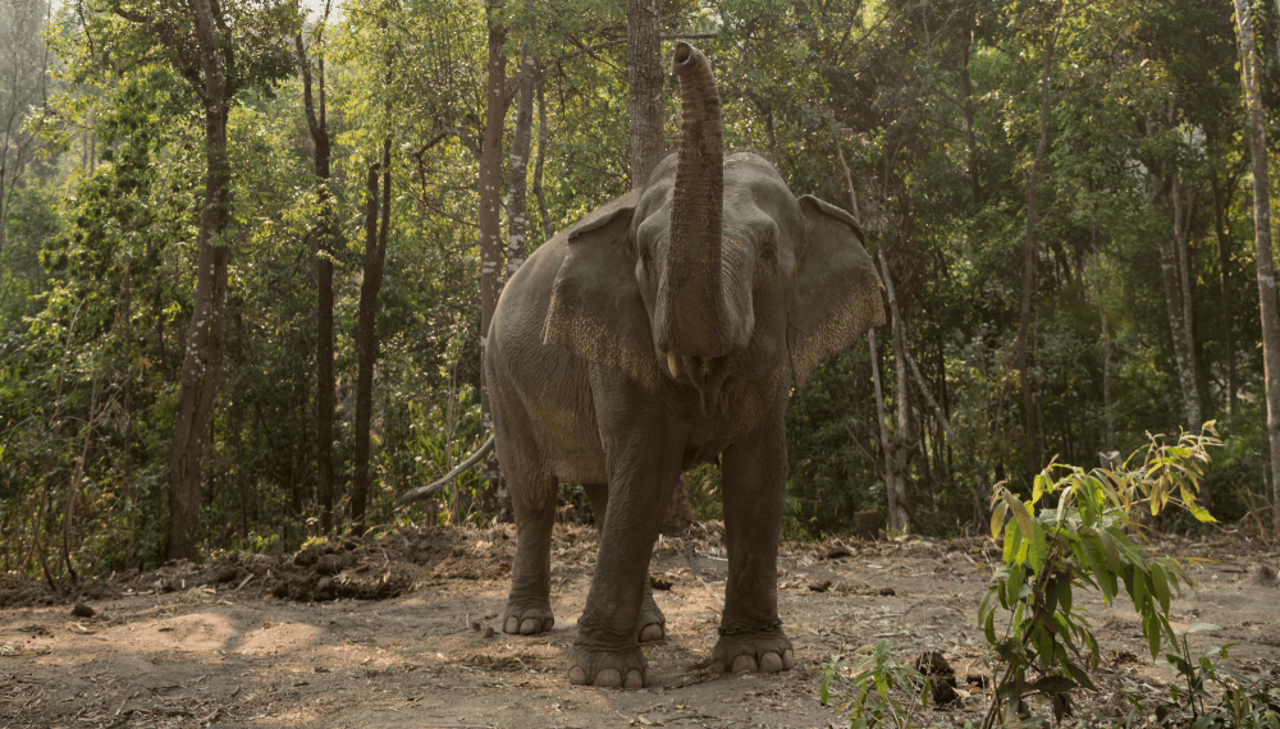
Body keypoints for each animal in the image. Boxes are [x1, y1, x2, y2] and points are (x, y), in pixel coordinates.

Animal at [483, 42, 885, 690]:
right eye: (647, 255)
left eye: (768, 252)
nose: (682, 50)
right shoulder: (620, 347)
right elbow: (648, 466)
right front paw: (609, 678)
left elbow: (757, 474)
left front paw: (758, 660)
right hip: (501, 381)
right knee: (537, 497)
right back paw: (526, 626)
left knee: (603, 489)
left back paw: (650, 628)